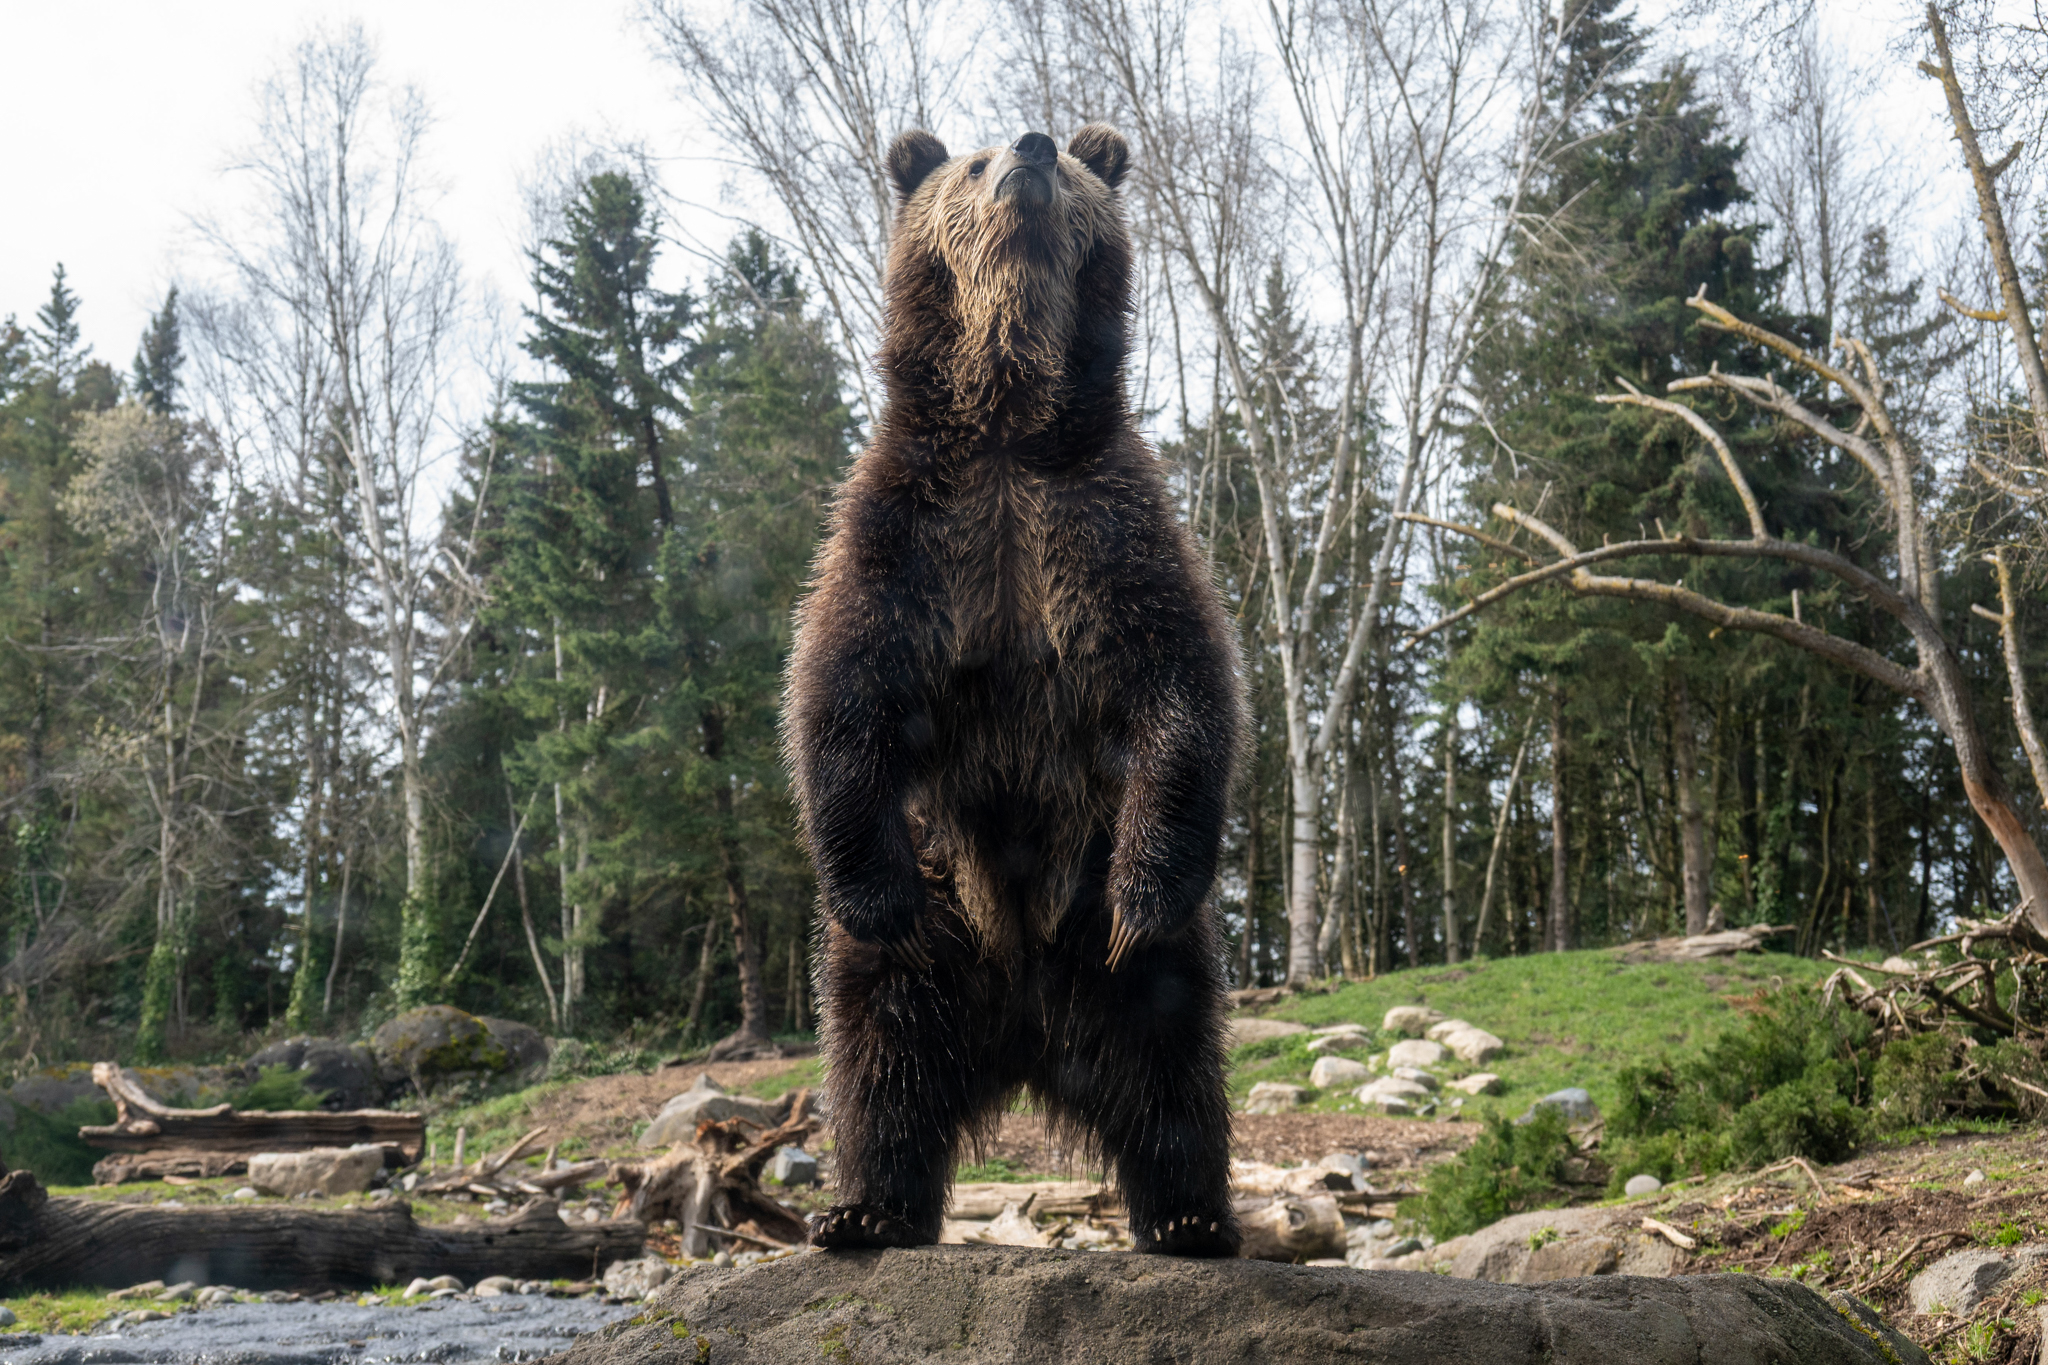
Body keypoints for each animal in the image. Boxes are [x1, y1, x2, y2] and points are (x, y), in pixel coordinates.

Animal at [784, 125, 1246, 1257]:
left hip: (1120, 952)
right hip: (935, 930)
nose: (1033, 151)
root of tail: (1031, 1036)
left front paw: (1143, 893)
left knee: (1172, 1061)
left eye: (1070, 159)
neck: (1005, 420)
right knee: (881, 1055)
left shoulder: (1101, 523)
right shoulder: (908, 532)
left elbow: (1181, 689)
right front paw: (871, 886)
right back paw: (863, 1208)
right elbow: (838, 694)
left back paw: (1189, 1216)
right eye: (971, 160)